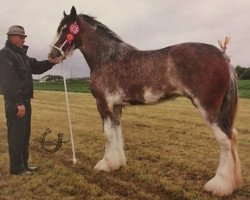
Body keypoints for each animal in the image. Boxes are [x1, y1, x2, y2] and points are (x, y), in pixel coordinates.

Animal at [48, 6, 242, 197]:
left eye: (65, 29)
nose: (51, 55)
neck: (107, 58)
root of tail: (223, 56)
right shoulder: (116, 107)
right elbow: (117, 134)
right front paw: (117, 163)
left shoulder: (103, 104)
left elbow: (108, 135)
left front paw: (104, 165)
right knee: (232, 135)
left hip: (208, 108)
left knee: (225, 139)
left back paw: (218, 185)